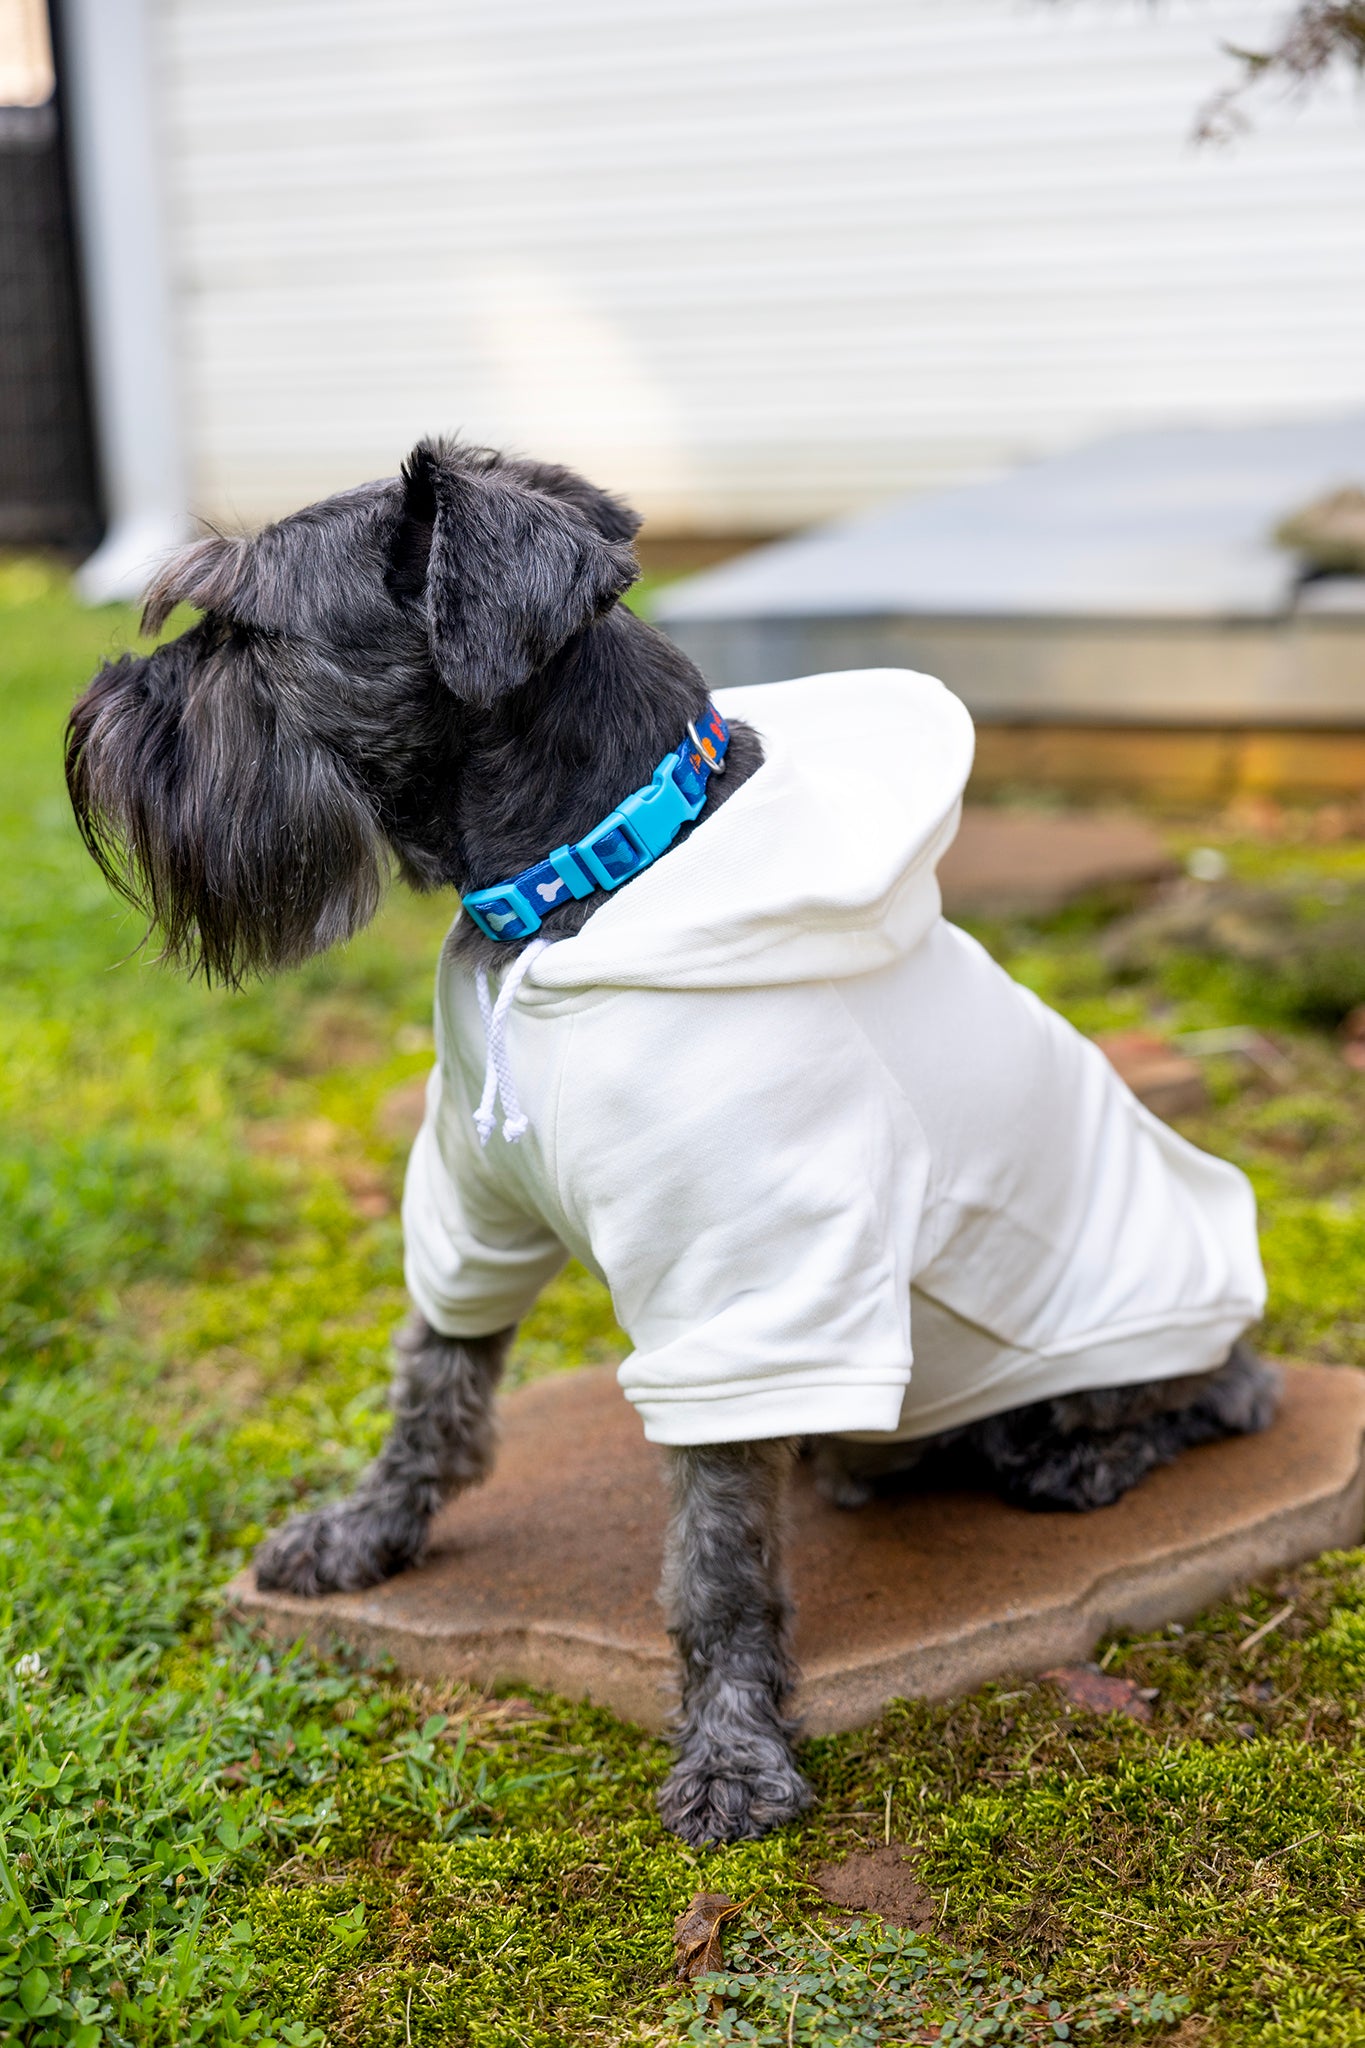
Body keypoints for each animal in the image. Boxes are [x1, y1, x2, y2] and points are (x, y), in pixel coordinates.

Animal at [63, 440, 1285, 1851]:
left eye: (247, 631)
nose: (91, 715)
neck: (586, 879)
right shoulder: (474, 1200)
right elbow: (434, 1382)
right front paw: (365, 1532)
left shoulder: (741, 1279)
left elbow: (714, 1558)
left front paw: (733, 1753)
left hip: (1124, 1336)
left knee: (1222, 1395)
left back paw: (1086, 1450)